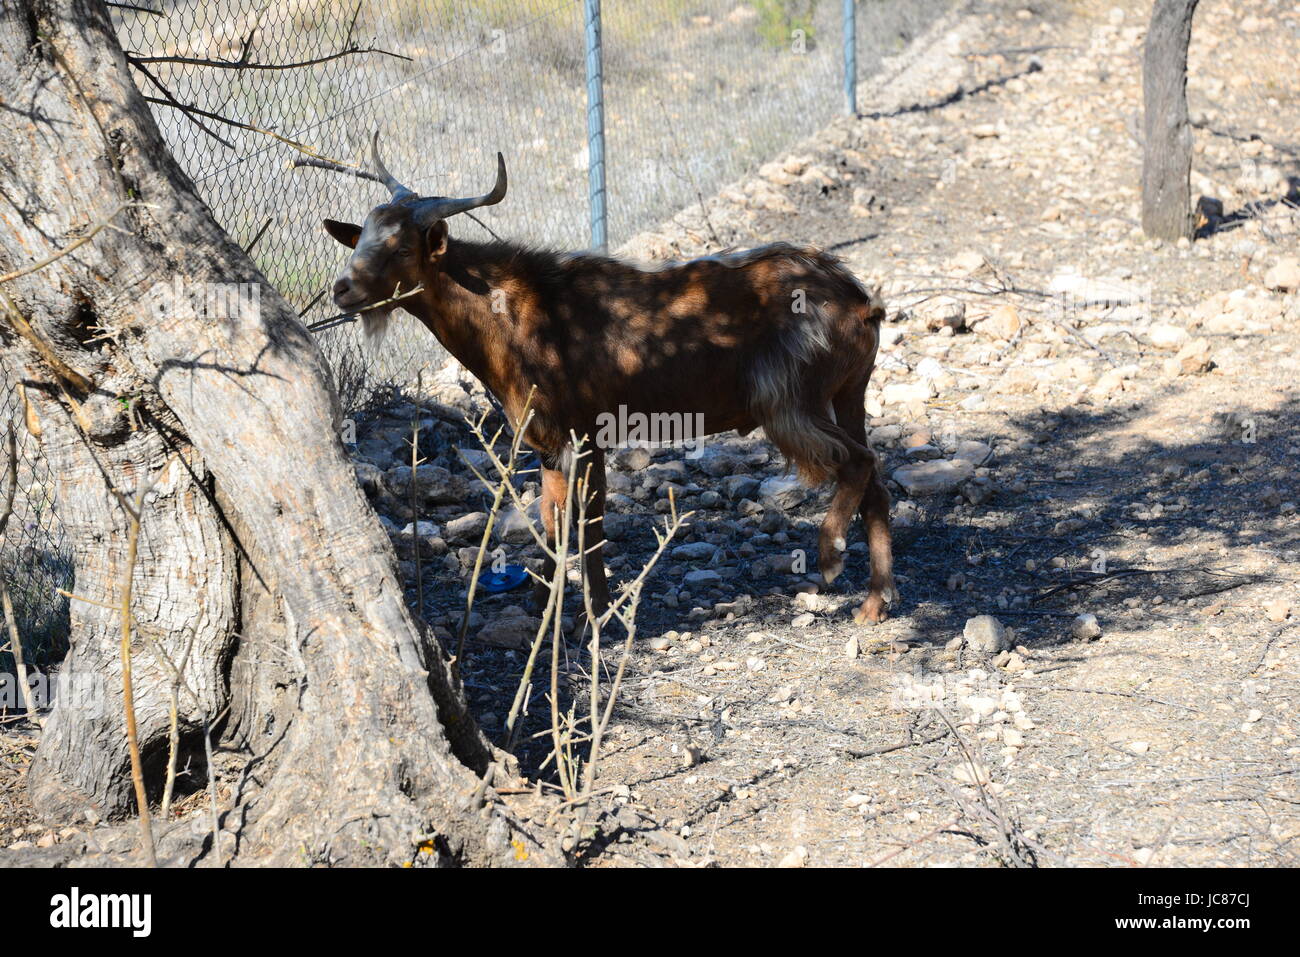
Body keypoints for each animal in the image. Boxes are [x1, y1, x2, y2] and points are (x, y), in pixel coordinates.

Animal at [319, 138, 899, 624]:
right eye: (360, 241)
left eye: (401, 248)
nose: (342, 289)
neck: (510, 314)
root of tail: (861, 300)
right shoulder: (547, 443)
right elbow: (552, 522)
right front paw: (544, 609)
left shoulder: (586, 432)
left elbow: (589, 524)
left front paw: (594, 617)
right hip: (846, 394)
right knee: (876, 478)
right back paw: (874, 604)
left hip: (788, 398)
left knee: (858, 462)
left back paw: (828, 560)